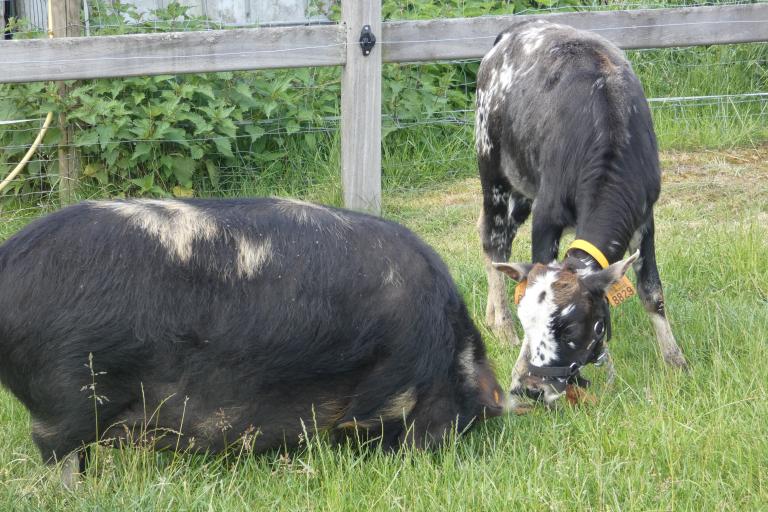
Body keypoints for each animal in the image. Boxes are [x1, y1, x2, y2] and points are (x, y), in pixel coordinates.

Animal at [0, 198, 504, 482]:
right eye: (467, 412)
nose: (442, 449)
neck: (445, 349)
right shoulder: (388, 386)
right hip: (68, 393)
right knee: (59, 450)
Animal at [476, 20, 688, 404]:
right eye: (528, 318)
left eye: (570, 327)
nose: (534, 388)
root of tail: (514, 29)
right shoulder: (547, 215)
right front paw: (517, 358)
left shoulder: (645, 217)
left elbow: (652, 292)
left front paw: (675, 361)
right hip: (495, 173)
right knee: (493, 241)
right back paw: (501, 326)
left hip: (523, 189)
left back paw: (491, 316)